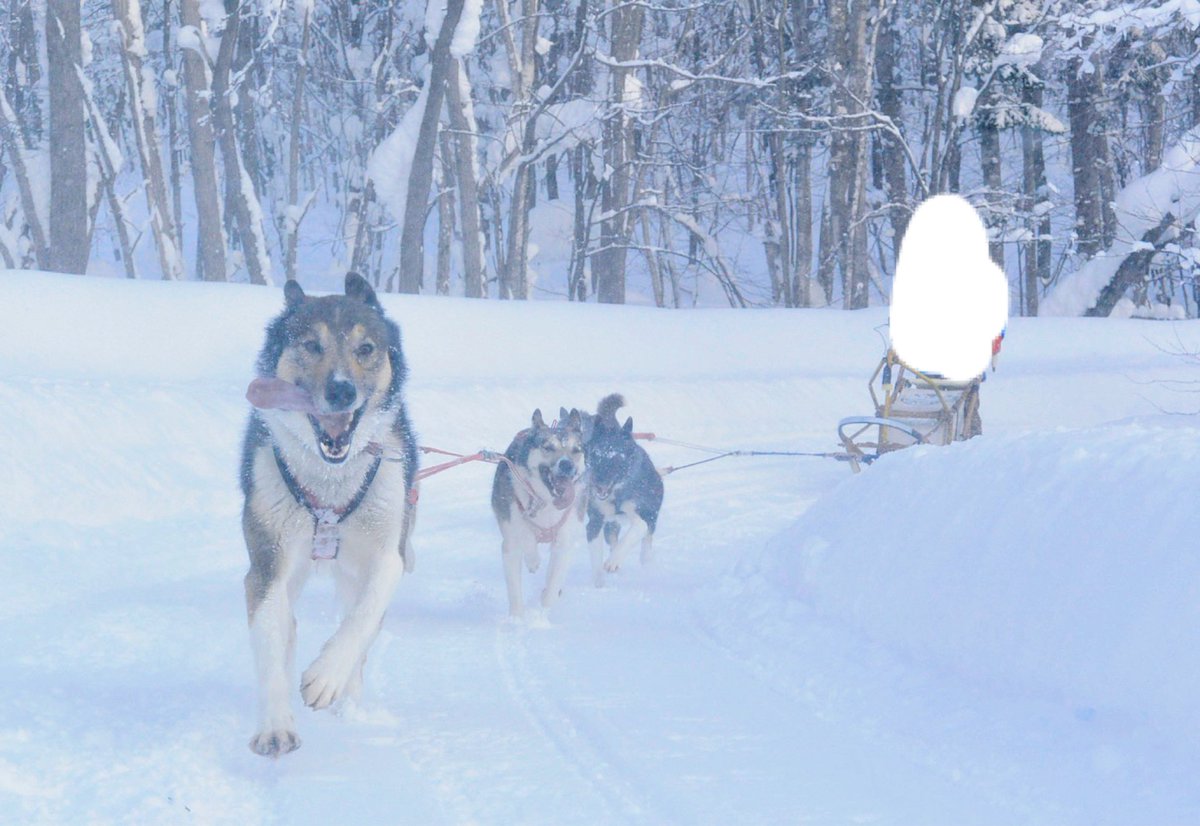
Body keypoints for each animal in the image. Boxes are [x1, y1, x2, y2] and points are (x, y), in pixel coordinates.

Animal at [238, 273, 417, 758]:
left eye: (366, 348)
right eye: (310, 344)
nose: (341, 390)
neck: (330, 484)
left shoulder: (388, 554)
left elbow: (362, 616)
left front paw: (326, 676)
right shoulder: (266, 561)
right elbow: (269, 634)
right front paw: (275, 724)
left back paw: (347, 698)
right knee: (287, 624)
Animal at [489, 410, 588, 614]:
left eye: (576, 450)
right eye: (548, 447)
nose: (566, 465)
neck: (546, 504)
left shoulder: (564, 543)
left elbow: (552, 587)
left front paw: (542, 613)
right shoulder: (511, 543)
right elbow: (524, 538)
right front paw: (517, 619)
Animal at [580, 396, 667, 583]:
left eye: (615, 457)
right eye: (595, 454)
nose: (598, 483)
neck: (616, 494)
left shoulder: (639, 515)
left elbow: (637, 529)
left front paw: (614, 561)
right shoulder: (595, 521)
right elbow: (597, 563)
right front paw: (599, 583)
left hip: (651, 516)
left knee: (646, 541)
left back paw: (645, 564)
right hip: (611, 526)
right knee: (613, 540)